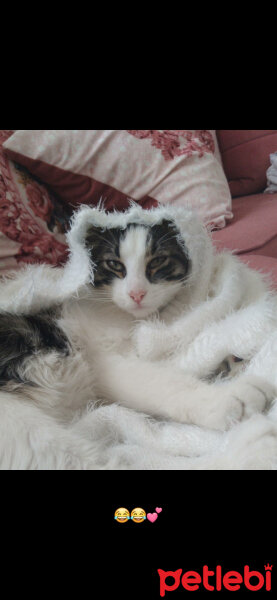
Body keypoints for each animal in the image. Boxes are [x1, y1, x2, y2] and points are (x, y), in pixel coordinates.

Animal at [0, 204, 276, 448]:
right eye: (114, 264)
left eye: (158, 261)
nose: (136, 294)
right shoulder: (100, 358)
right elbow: (158, 381)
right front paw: (227, 398)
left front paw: (232, 360)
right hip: (26, 425)